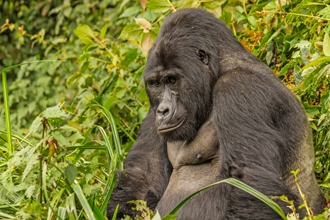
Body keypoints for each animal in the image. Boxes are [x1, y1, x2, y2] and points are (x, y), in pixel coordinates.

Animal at [107, 7, 324, 219]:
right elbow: (143, 178)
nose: (163, 110)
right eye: (155, 84)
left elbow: (250, 182)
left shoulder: (238, 87)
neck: (220, 69)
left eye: (172, 80)